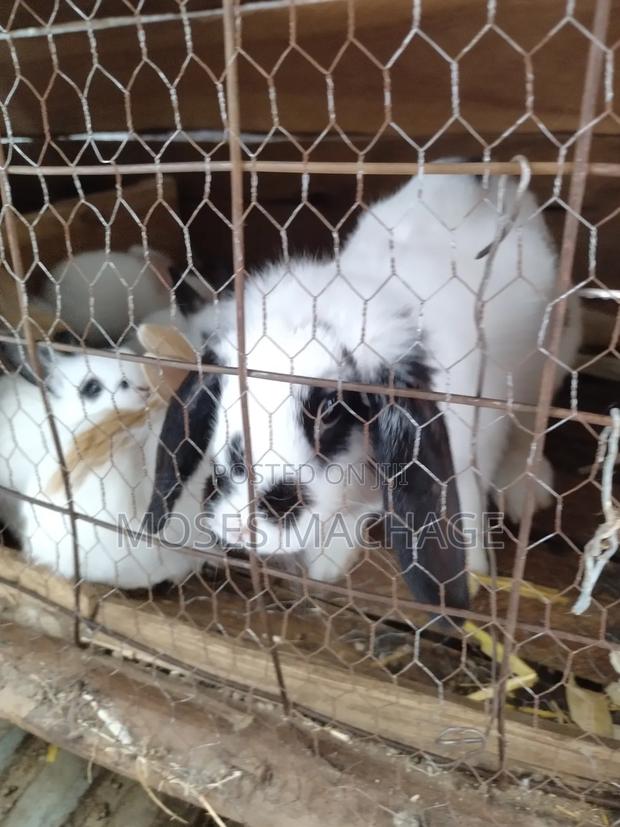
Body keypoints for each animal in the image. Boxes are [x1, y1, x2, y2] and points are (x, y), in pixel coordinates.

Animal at [145, 166, 581, 612]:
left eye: (329, 411)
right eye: (225, 396)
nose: (237, 528)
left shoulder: (466, 453)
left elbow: (469, 509)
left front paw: (472, 574)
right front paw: (327, 564)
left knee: (529, 429)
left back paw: (528, 491)